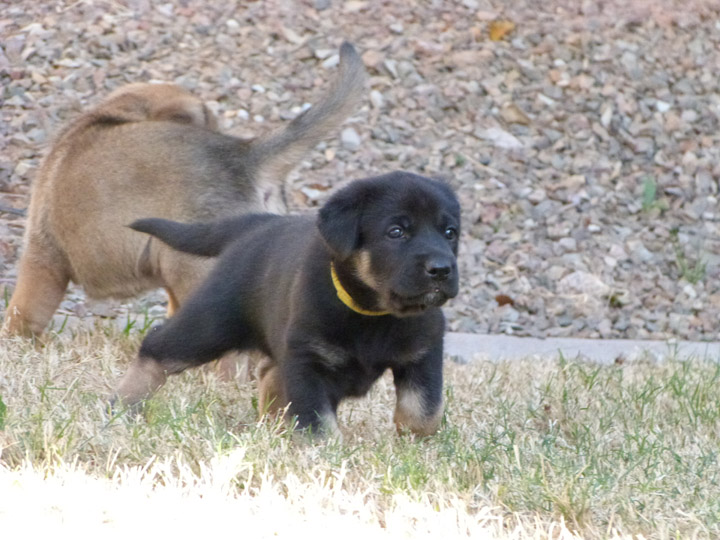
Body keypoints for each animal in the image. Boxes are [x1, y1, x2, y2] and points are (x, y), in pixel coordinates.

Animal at [114, 171, 458, 436]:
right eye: (396, 231)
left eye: (450, 232)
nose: (442, 269)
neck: (375, 314)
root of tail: (257, 224)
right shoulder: (307, 358)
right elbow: (318, 421)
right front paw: (326, 454)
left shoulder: (424, 352)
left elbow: (423, 409)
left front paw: (417, 446)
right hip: (212, 323)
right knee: (157, 347)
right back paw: (123, 404)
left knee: (269, 372)